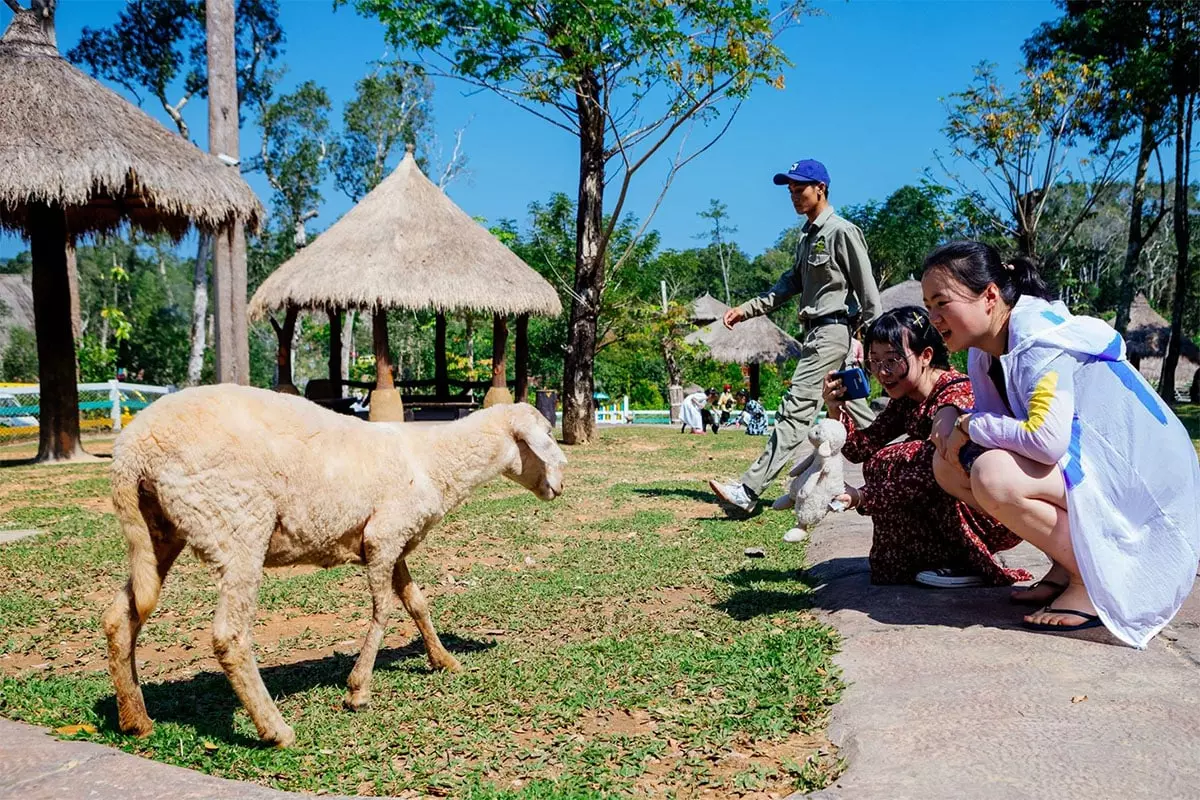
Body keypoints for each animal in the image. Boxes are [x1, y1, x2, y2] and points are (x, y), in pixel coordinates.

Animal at [100, 383, 564, 748]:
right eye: (547, 436)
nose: (561, 485)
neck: (434, 461)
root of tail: (131, 449)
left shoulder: (394, 541)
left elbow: (416, 602)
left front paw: (443, 660)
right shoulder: (384, 536)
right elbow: (383, 611)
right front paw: (358, 690)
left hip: (159, 531)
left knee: (120, 617)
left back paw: (136, 720)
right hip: (237, 524)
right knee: (229, 636)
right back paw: (275, 730)